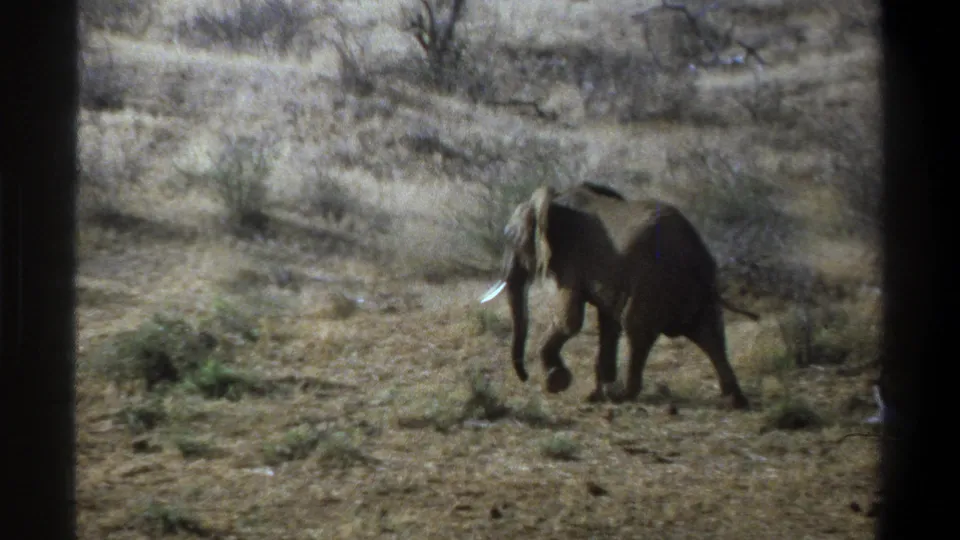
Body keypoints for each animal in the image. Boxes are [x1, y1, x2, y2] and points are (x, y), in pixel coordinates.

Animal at [479, 182, 759, 409]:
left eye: (509, 238)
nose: (524, 377)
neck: (555, 199)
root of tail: (695, 250)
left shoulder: (572, 260)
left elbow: (571, 320)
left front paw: (557, 382)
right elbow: (607, 324)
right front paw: (588, 391)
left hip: (652, 282)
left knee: (637, 329)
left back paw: (620, 394)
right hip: (694, 289)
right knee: (711, 334)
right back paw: (735, 400)